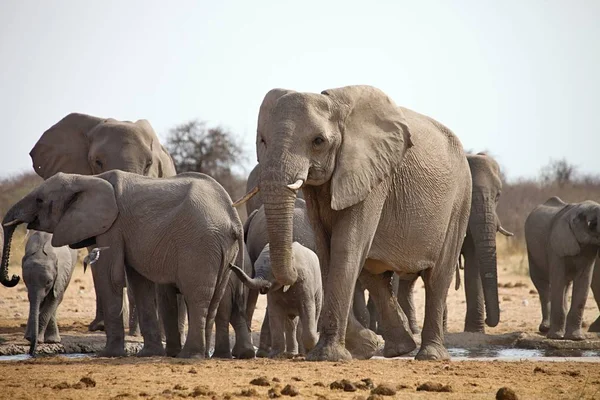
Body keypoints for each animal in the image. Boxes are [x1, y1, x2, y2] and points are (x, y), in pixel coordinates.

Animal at [1, 170, 244, 358]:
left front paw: (107, 354)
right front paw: (147, 354)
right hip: (222, 250)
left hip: (199, 245)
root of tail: (233, 219)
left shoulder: (112, 227)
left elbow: (111, 277)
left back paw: (189, 356)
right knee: (215, 298)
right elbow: (138, 282)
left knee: (197, 296)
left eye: (40, 201)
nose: (13, 277)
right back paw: (200, 355)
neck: (87, 178)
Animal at [234, 86, 474, 360]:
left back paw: (429, 356)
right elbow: (326, 250)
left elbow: (346, 245)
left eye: (318, 141)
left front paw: (329, 356)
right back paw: (398, 348)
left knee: (437, 277)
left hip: (460, 200)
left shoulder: (373, 174)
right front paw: (364, 345)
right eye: (262, 141)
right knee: (374, 276)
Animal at [524, 195, 600, 340]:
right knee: (543, 286)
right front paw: (556, 337)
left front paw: (576, 338)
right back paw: (545, 329)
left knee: (565, 286)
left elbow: (583, 282)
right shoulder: (555, 246)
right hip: (532, 252)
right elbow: (557, 280)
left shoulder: (590, 250)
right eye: (591, 222)